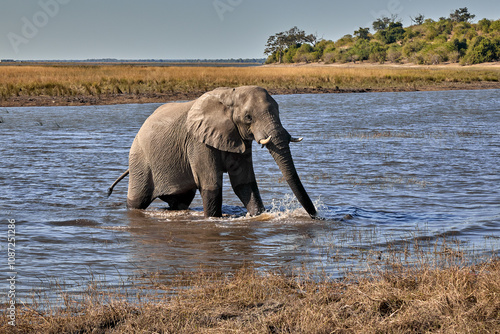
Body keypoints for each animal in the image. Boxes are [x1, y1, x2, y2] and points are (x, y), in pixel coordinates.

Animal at [109, 85, 318, 219]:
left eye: (279, 110)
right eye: (248, 117)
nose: (316, 217)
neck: (231, 95)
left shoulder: (238, 138)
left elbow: (244, 184)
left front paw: (259, 216)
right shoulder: (198, 142)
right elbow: (211, 185)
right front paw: (213, 220)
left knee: (181, 201)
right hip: (139, 159)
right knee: (137, 201)